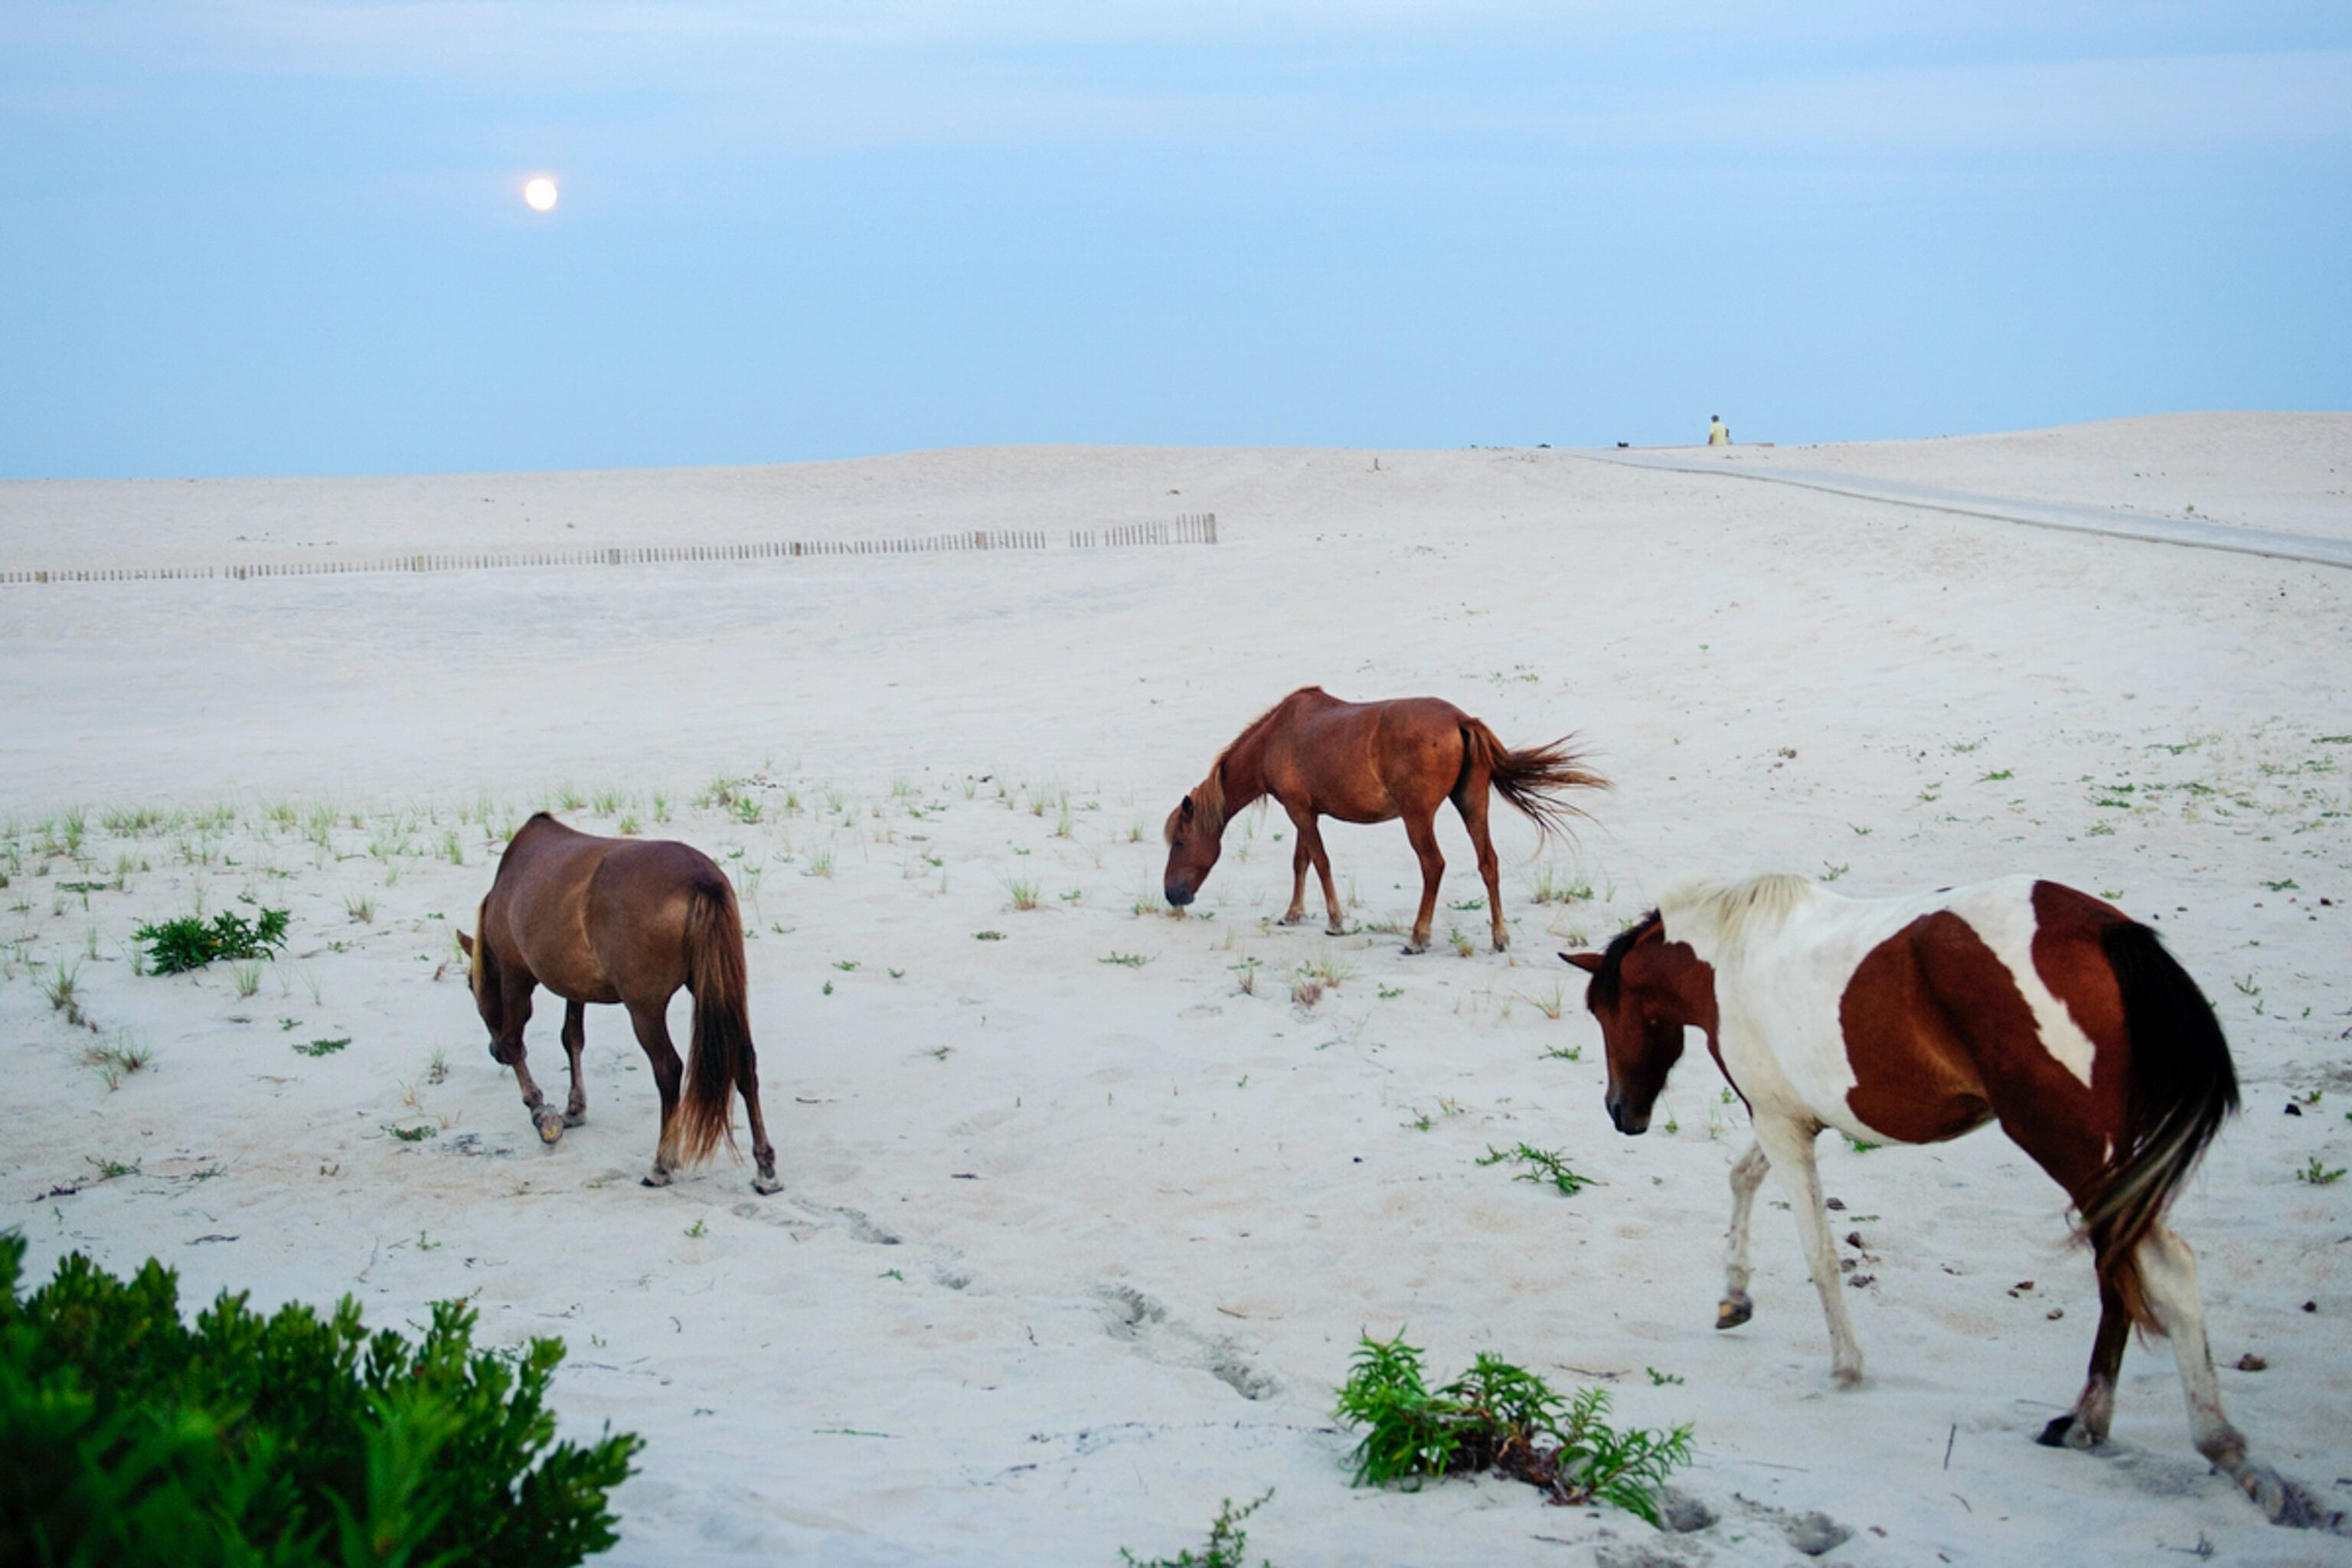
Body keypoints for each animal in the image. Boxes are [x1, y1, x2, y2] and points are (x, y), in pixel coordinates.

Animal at [456, 813, 781, 1194]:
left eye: (471, 986)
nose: (494, 1053)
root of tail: (700, 880)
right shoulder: (573, 985)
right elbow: (572, 1039)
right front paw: (574, 1108)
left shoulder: (514, 973)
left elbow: (515, 1040)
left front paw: (541, 1112)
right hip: (717, 990)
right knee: (743, 1062)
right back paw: (765, 1168)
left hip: (644, 1009)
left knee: (668, 1069)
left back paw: (661, 1164)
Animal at [1162, 687, 1605, 953]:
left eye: (1180, 842)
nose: (1172, 895)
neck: (1277, 736)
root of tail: (1461, 720)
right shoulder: (1304, 812)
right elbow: (1302, 861)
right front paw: (1293, 913)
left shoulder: (1300, 812)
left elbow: (1320, 863)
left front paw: (1335, 921)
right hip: (1472, 805)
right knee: (1488, 863)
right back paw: (1499, 937)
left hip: (1417, 817)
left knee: (1433, 865)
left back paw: (1418, 937)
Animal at [1562, 873, 2334, 1527]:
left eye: (1603, 1011)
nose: (1620, 1112)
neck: (1733, 954)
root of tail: (2104, 929)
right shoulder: (1796, 1121)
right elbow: (1742, 1179)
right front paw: (1734, 1296)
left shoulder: (1782, 1124)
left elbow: (1818, 1252)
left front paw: (1846, 1366)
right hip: (2109, 1162)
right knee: (2119, 1269)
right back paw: (2087, 1421)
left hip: (2067, 1145)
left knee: (2164, 1269)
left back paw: (2222, 1446)